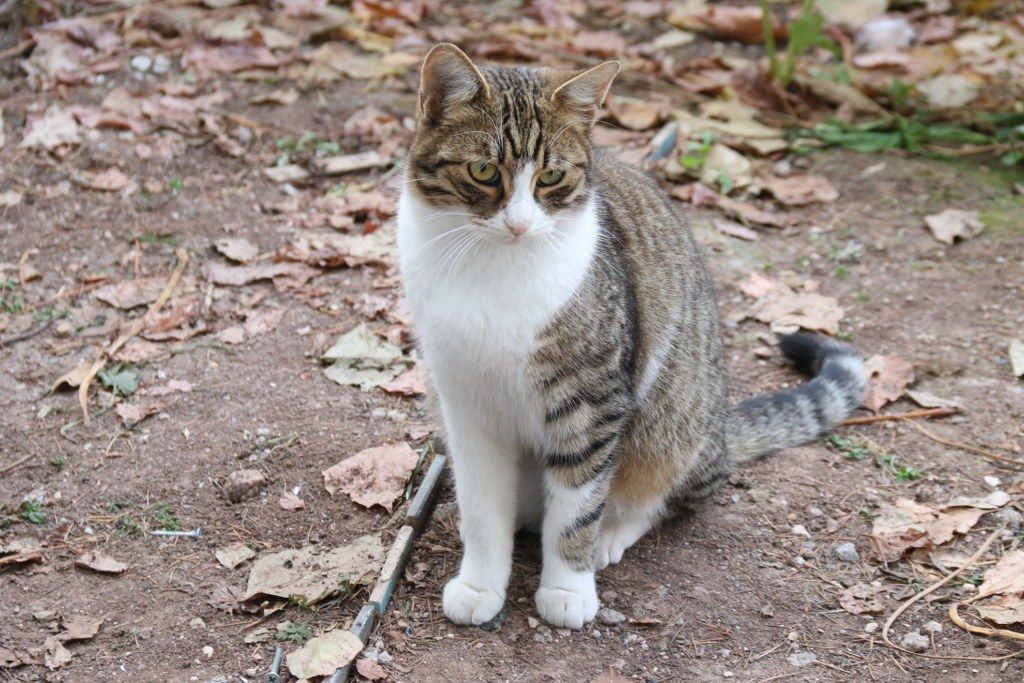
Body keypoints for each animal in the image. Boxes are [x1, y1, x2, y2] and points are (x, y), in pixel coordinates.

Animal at [395, 42, 868, 630]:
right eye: (483, 170)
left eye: (551, 177)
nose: (520, 225)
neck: (492, 270)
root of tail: (720, 431)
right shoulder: (465, 404)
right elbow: (481, 507)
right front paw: (482, 583)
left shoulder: (592, 401)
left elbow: (577, 506)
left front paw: (568, 588)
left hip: (671, 426)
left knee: (664, 494)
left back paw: (611, 533)